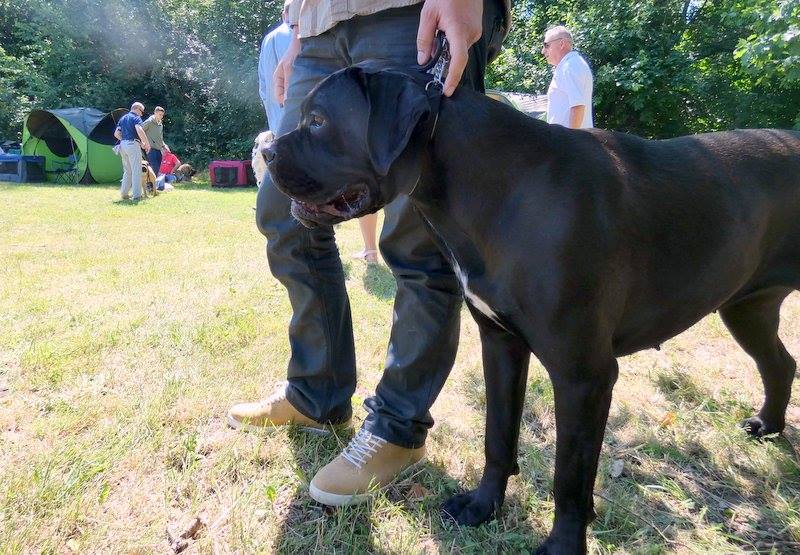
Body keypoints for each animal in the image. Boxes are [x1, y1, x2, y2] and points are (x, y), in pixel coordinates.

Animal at [264, 67, 800, 552]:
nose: (265, 150)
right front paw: (483, 506)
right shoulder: (501, 344)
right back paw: (768, 428)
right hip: (747, 308)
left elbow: (570, 476)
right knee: (780, 363)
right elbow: (498, 436)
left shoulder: (583, 374)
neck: (502, 190)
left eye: (317, 120)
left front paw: (563, 545)